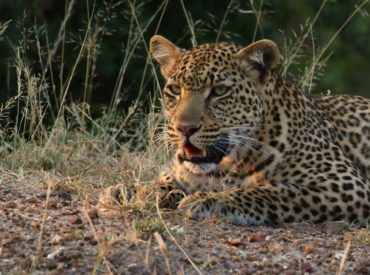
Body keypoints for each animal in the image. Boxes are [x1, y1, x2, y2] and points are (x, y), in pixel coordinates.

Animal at [99, 35, 370, 226]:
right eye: (175, 90)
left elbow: (272, 191)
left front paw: (209, 201)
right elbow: (162, 179)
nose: (185, 128)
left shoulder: (345, 183)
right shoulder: (181, 170)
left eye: (219, 91)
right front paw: (128, 190)